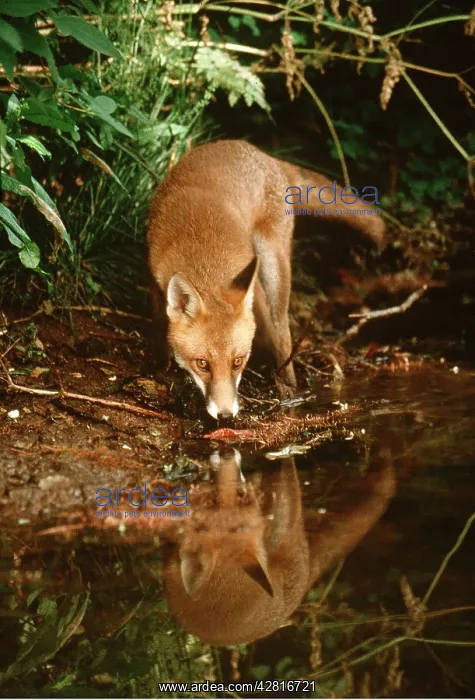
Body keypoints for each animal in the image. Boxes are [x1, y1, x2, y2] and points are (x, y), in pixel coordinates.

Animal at [147, 140, 385, 420]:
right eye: (202, 364)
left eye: (237, 362)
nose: (226, 416)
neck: (201, 246)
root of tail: (264, 155)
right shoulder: (155, 278)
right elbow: (160, 324)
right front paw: (159, 366)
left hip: (272, 265)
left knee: (281, 329)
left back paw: (287, 386)